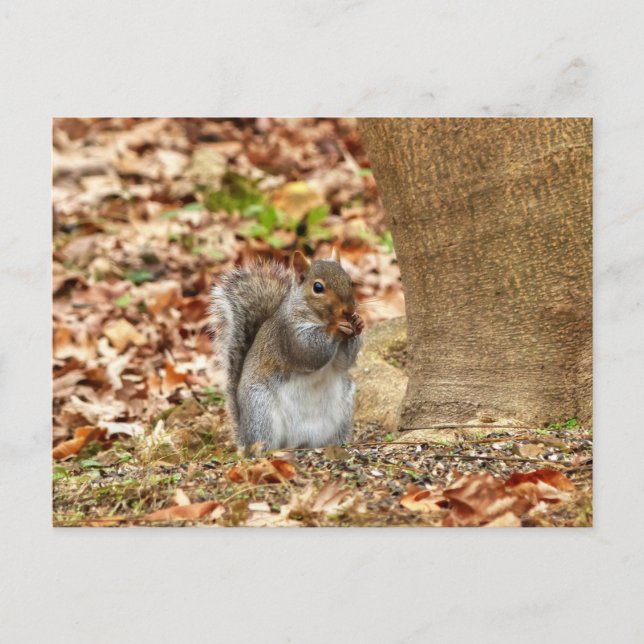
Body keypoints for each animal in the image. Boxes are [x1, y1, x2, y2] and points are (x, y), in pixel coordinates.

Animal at [210, 249, 364, 452]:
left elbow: (344, 362)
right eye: (318, 287)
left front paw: (358, 323)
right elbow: (310, 351)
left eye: (350, 281)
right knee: (261, 443)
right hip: (261, 410)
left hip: (344, 409)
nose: (348, 311)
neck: (318, 318)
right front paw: (336, 327)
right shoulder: (289, 335)